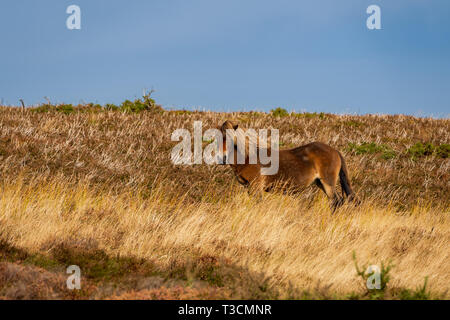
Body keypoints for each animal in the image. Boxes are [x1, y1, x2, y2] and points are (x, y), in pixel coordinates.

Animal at [219, 120, 358, 210]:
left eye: (231, 138)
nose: (222, 158)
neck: (249, 157)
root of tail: (335, 151)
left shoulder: (256, 187)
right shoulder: (249, 188)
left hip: (328, 183)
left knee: (336, 201)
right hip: (320, 183)